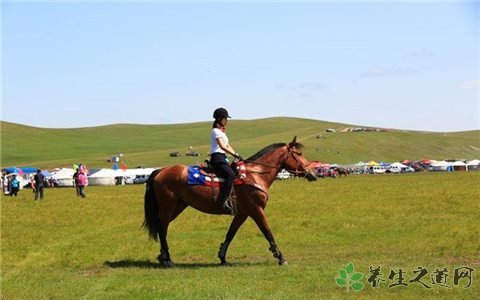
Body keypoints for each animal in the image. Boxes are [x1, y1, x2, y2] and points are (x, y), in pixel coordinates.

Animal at [141, 137, 316, 268]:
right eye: (298, 153)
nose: (313, 173)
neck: (255, 175)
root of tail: (161, 170)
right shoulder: (256, 210)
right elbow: (268, 232)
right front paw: (280, 257)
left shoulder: (242, 214)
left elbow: (230, 234)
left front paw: (222, 257)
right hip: (167, 207)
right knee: (162, 230)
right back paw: (168, 259)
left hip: (178, 206)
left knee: (161, 228)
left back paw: (163, 257)